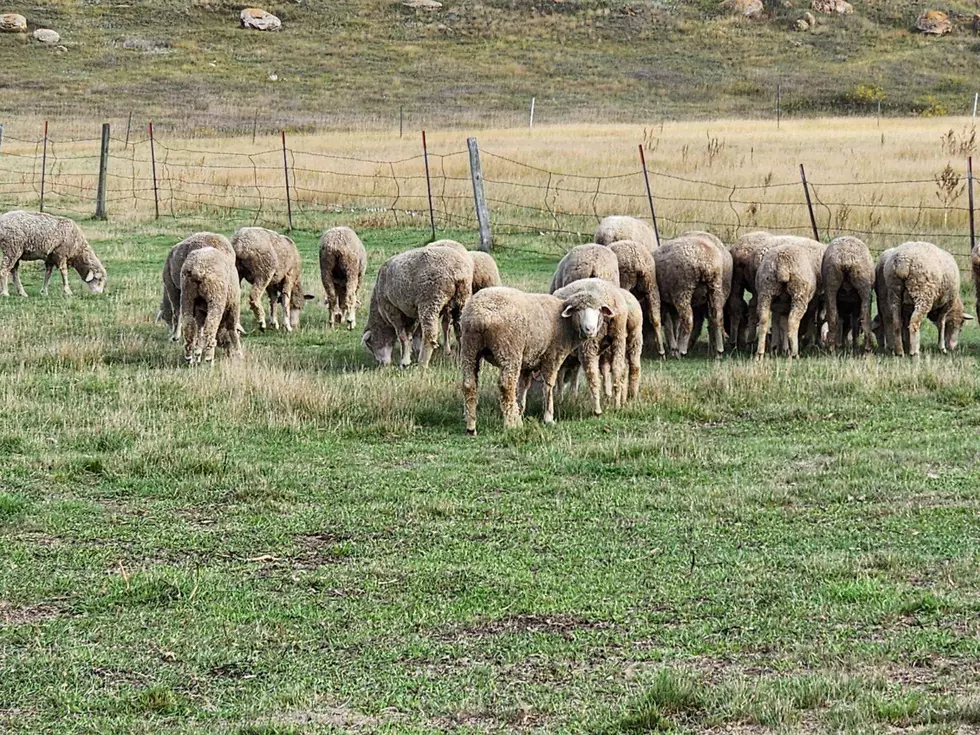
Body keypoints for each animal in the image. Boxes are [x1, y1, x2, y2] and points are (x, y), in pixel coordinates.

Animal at [459, 286, 613, 434]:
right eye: (579, 310)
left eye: (598, 310)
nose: (590, 329)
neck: (566, 325)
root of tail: (480, 316)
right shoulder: (552, 356)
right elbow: (548, 385)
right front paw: (548, 417)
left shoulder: (527, 362)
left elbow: (523, 388)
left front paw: (520, 413)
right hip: (509, 349)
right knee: (507, 385)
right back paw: (511, 425)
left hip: (469, 347)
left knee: (469, 385)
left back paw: (471, 427)